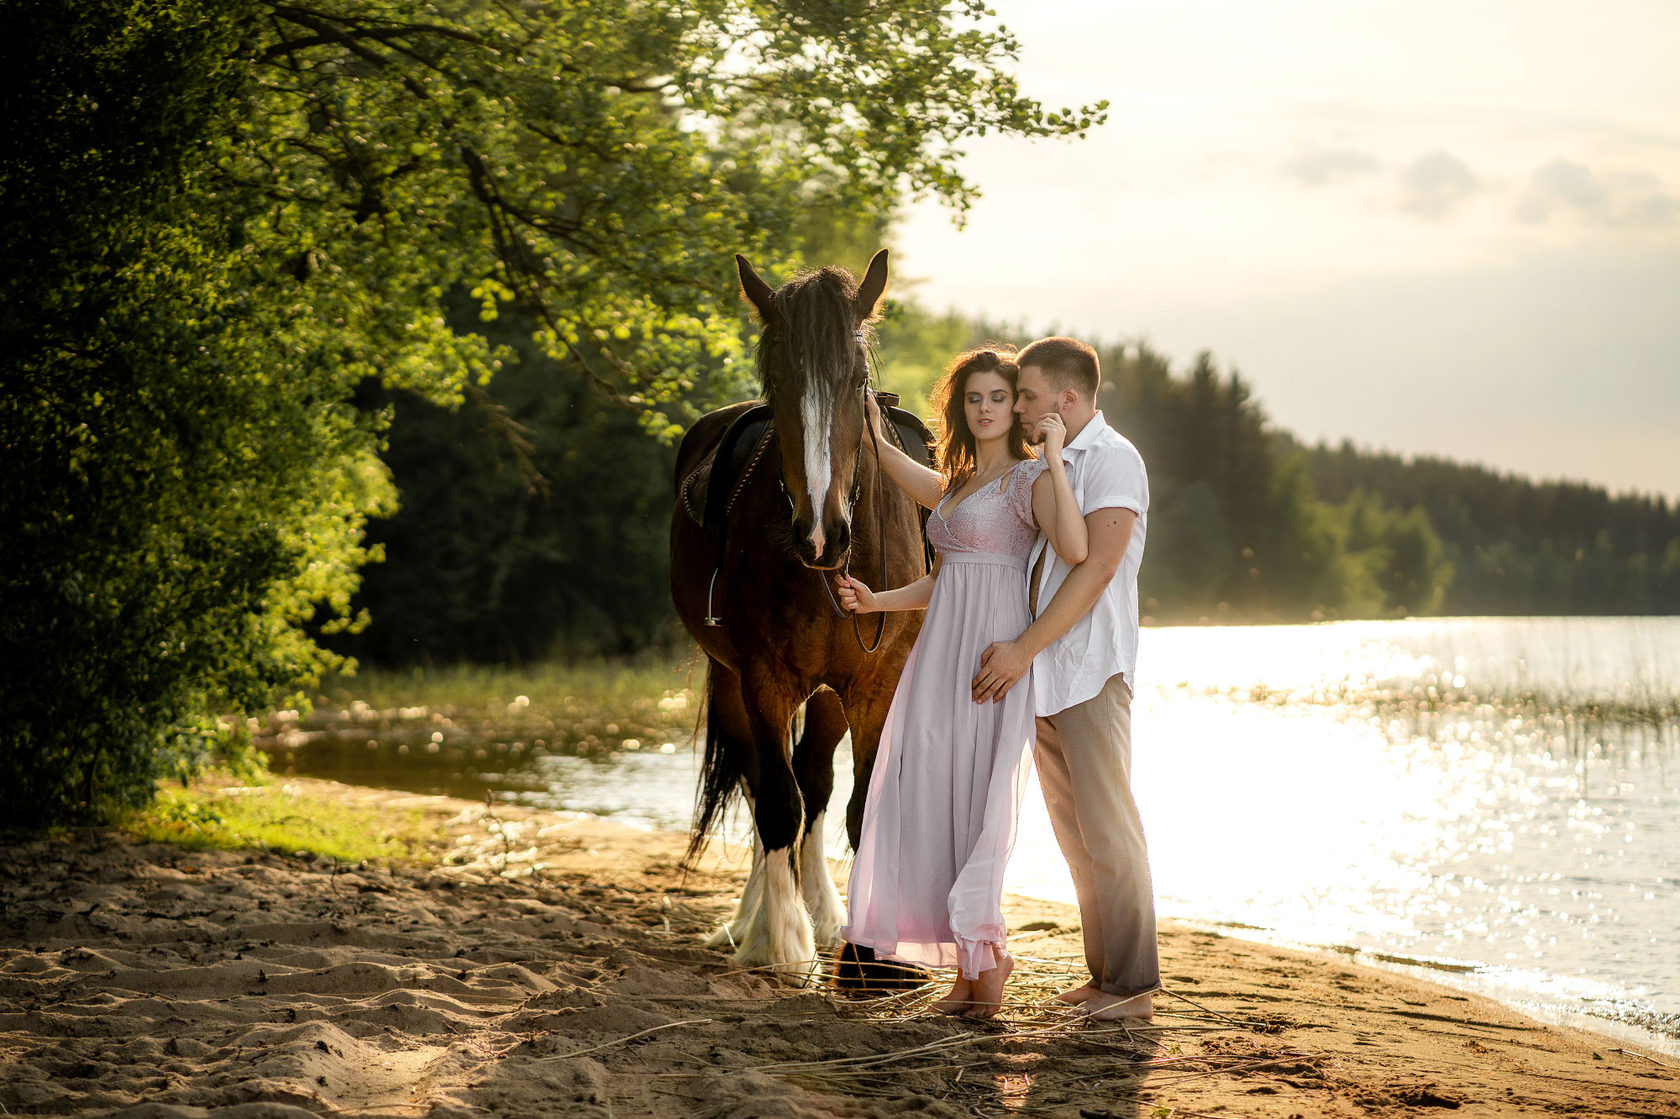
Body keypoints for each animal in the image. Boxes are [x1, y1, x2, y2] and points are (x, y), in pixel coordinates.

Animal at [668, 250, 934, 974]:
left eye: (857, 378)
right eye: (777, 378)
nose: (820, 534)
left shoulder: (874, 685)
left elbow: (858, 805)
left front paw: (866, 950)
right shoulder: (763, 678)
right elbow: (776, 807)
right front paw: (779, 940)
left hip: (832, 695)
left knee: (812, 782)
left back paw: (823, 909)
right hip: (734, 680)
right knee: (768, 787)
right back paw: (755, 918)